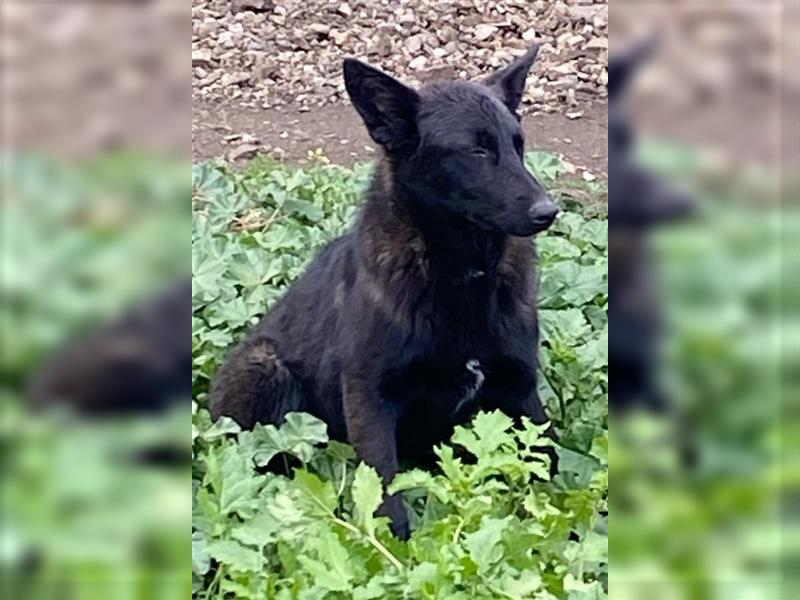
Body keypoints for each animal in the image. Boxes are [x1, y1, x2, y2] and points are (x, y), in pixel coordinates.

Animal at [212, 45, 564, 536]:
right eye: (476, 149)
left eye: (518, 145)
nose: (549, 211)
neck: (461, 276)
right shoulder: (371, 402)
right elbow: (385, 495)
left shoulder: (520, 391)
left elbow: (551, 472)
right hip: (265, 370)